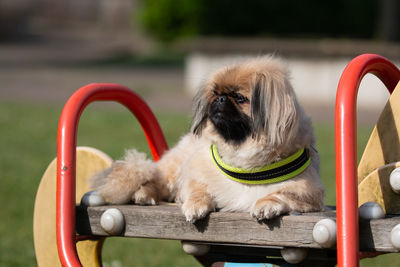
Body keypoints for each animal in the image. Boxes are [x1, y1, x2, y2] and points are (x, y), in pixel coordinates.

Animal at [93, 56, 324, 224]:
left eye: (239, 98)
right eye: (215, 93)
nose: (220, 99)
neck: (244, 163)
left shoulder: (309, 193)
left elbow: (281, 194)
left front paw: (265, 205)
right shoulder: (195, 173)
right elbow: (198, 190)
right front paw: (195, 206)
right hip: (173, 169)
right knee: (155, 179)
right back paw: (144, 195)